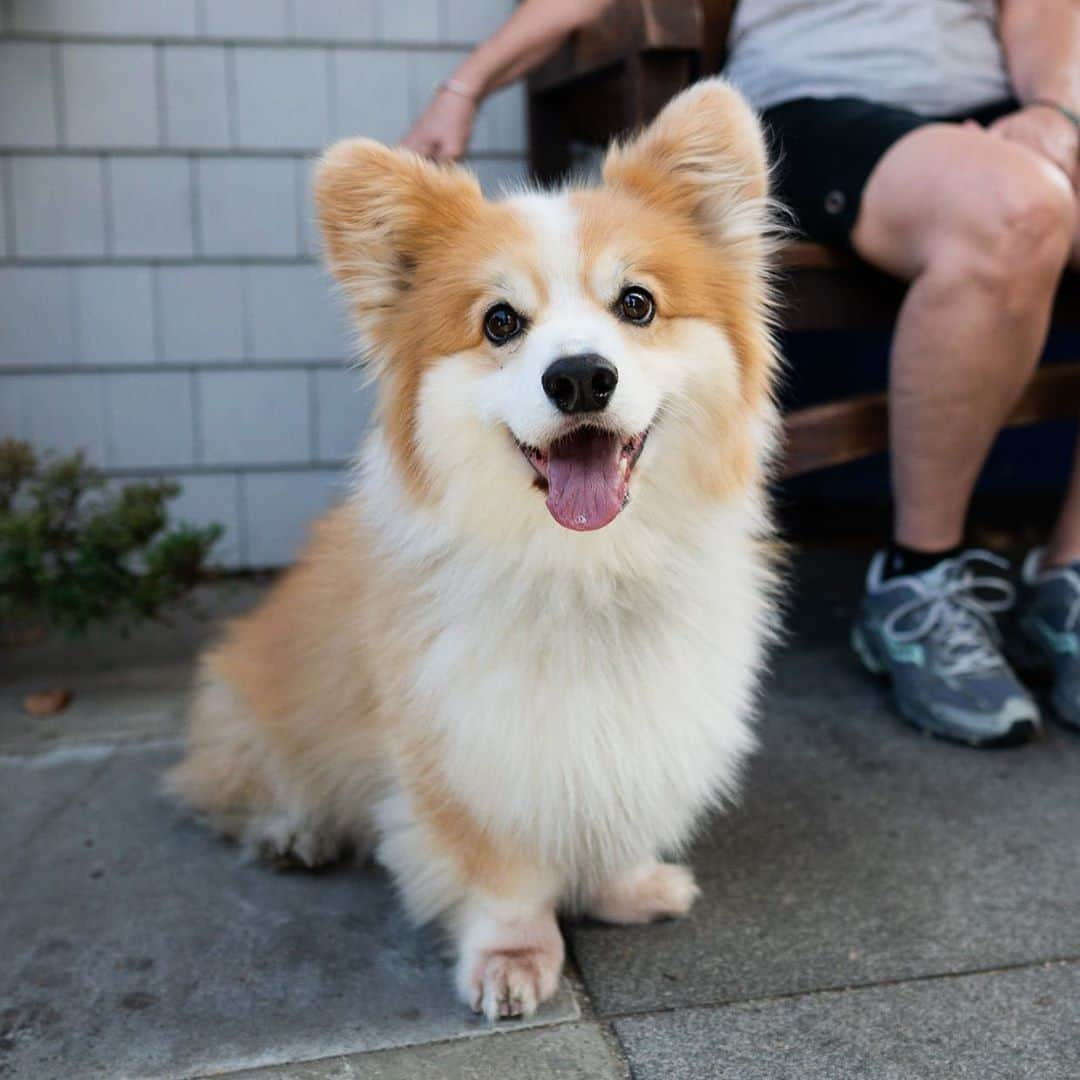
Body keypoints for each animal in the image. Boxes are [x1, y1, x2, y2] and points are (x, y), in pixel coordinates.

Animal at [166, 82, 777, 1019]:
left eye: (636, 304)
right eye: (500, 322)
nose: (579, 377)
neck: (586, 568)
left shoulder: (644, 723)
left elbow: (614, 809)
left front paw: (626, 887)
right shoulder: (461, 751)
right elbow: (501, 876)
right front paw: (514, 958)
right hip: (248, 707)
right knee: (229, 786)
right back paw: (291, 830)